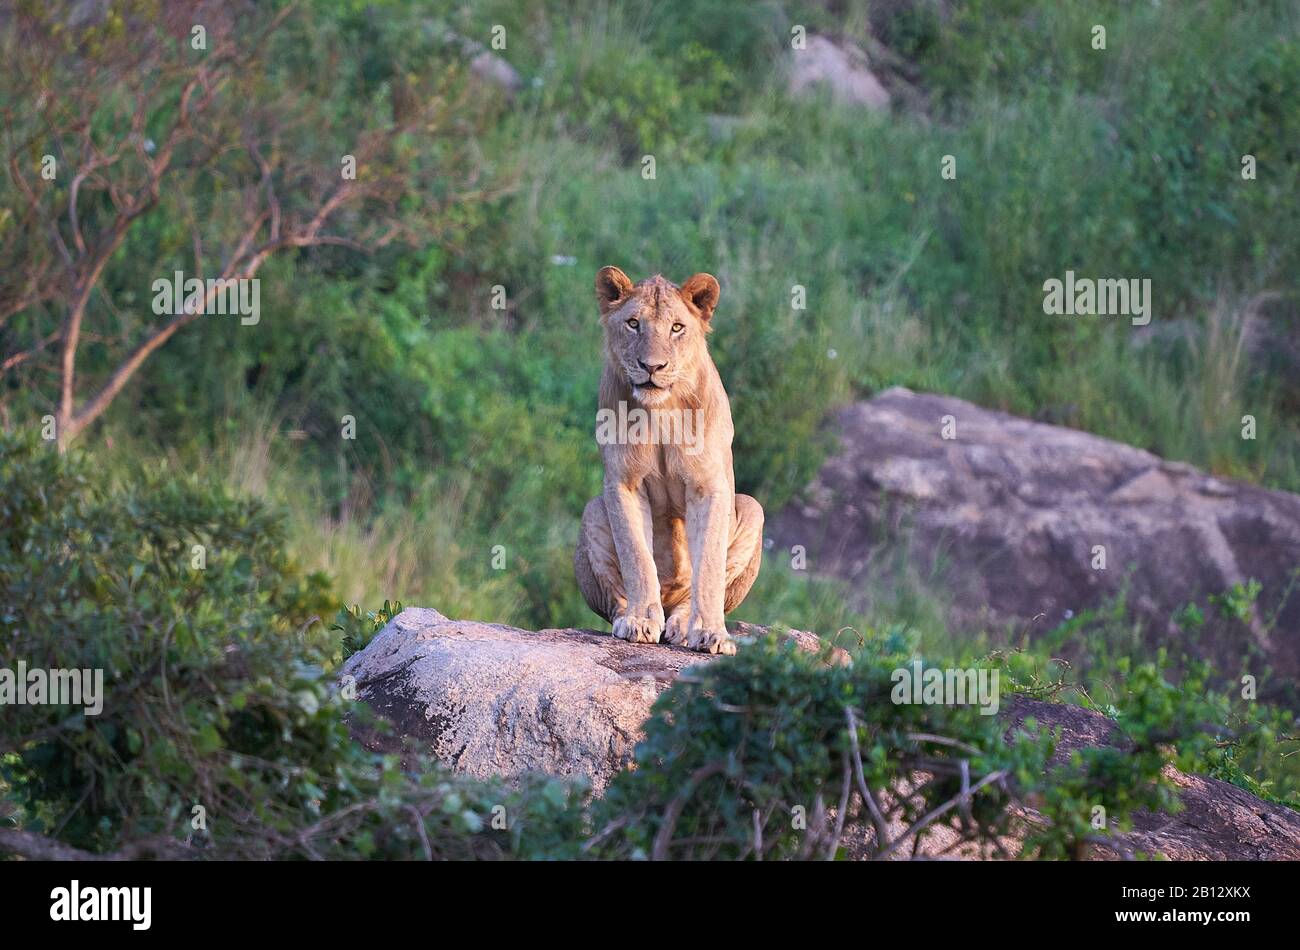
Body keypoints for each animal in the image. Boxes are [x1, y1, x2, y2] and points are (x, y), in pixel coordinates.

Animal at [573, 266, 764, 655]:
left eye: (677, 327)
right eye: (633, 323)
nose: (652, 366)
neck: (661, 412)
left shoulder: (708, 486)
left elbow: (709, 565)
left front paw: (711, 633)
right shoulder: (623, 483)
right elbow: (637, 556)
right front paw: (640, 621)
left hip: (753, 508)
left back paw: (682, 625)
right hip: (593, 509)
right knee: (616, 597)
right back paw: (631, 617)